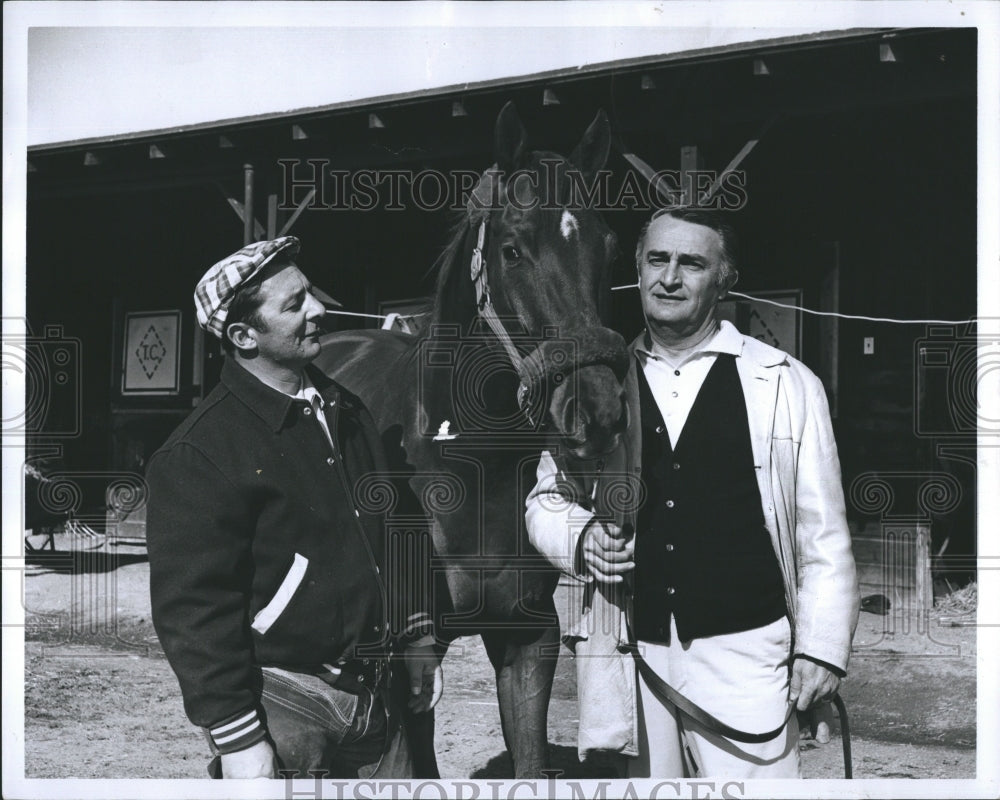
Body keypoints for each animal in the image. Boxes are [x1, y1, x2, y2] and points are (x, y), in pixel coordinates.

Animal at [316, 103, 628, 780]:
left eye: (609, 246)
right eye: (513, 249)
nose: (596, 410)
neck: (469, 460)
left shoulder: (528, 637)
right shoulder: (415, 653)